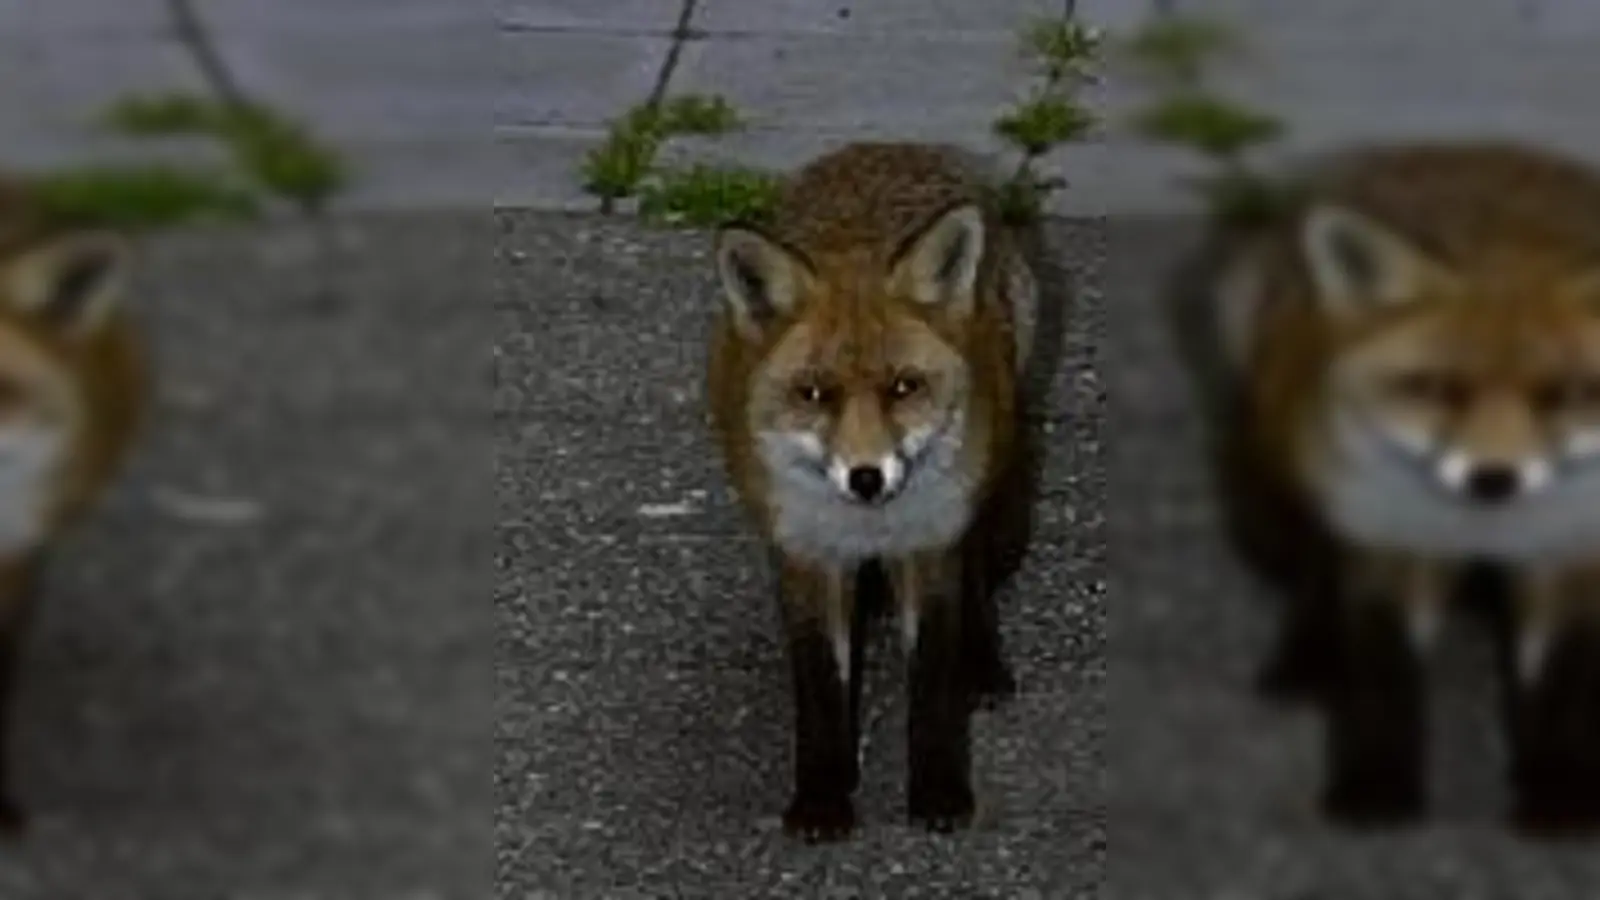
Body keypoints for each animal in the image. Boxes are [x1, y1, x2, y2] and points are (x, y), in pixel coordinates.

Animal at [705, 142, 1040, 841]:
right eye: (813, 394)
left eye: (904, 387)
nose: (867, 477)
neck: (868, 530)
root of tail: (886, 147)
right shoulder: (805, 554)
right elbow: (820, 692)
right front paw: (822, 799)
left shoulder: (930, 543)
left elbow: (934, 686)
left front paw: (940, 795)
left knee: (976, 571)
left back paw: (984, 664)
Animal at [1194, 141, 1600, 834]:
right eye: (1436, 388)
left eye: (1565, 395)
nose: (1494, 477)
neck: (1482, 532)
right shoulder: (1389, 546)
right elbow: (1383, 679)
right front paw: (1375, 787)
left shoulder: (1570, 556)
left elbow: (1566, 687)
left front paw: (1561, 795)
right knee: (1317, 562)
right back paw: (1307, 657)